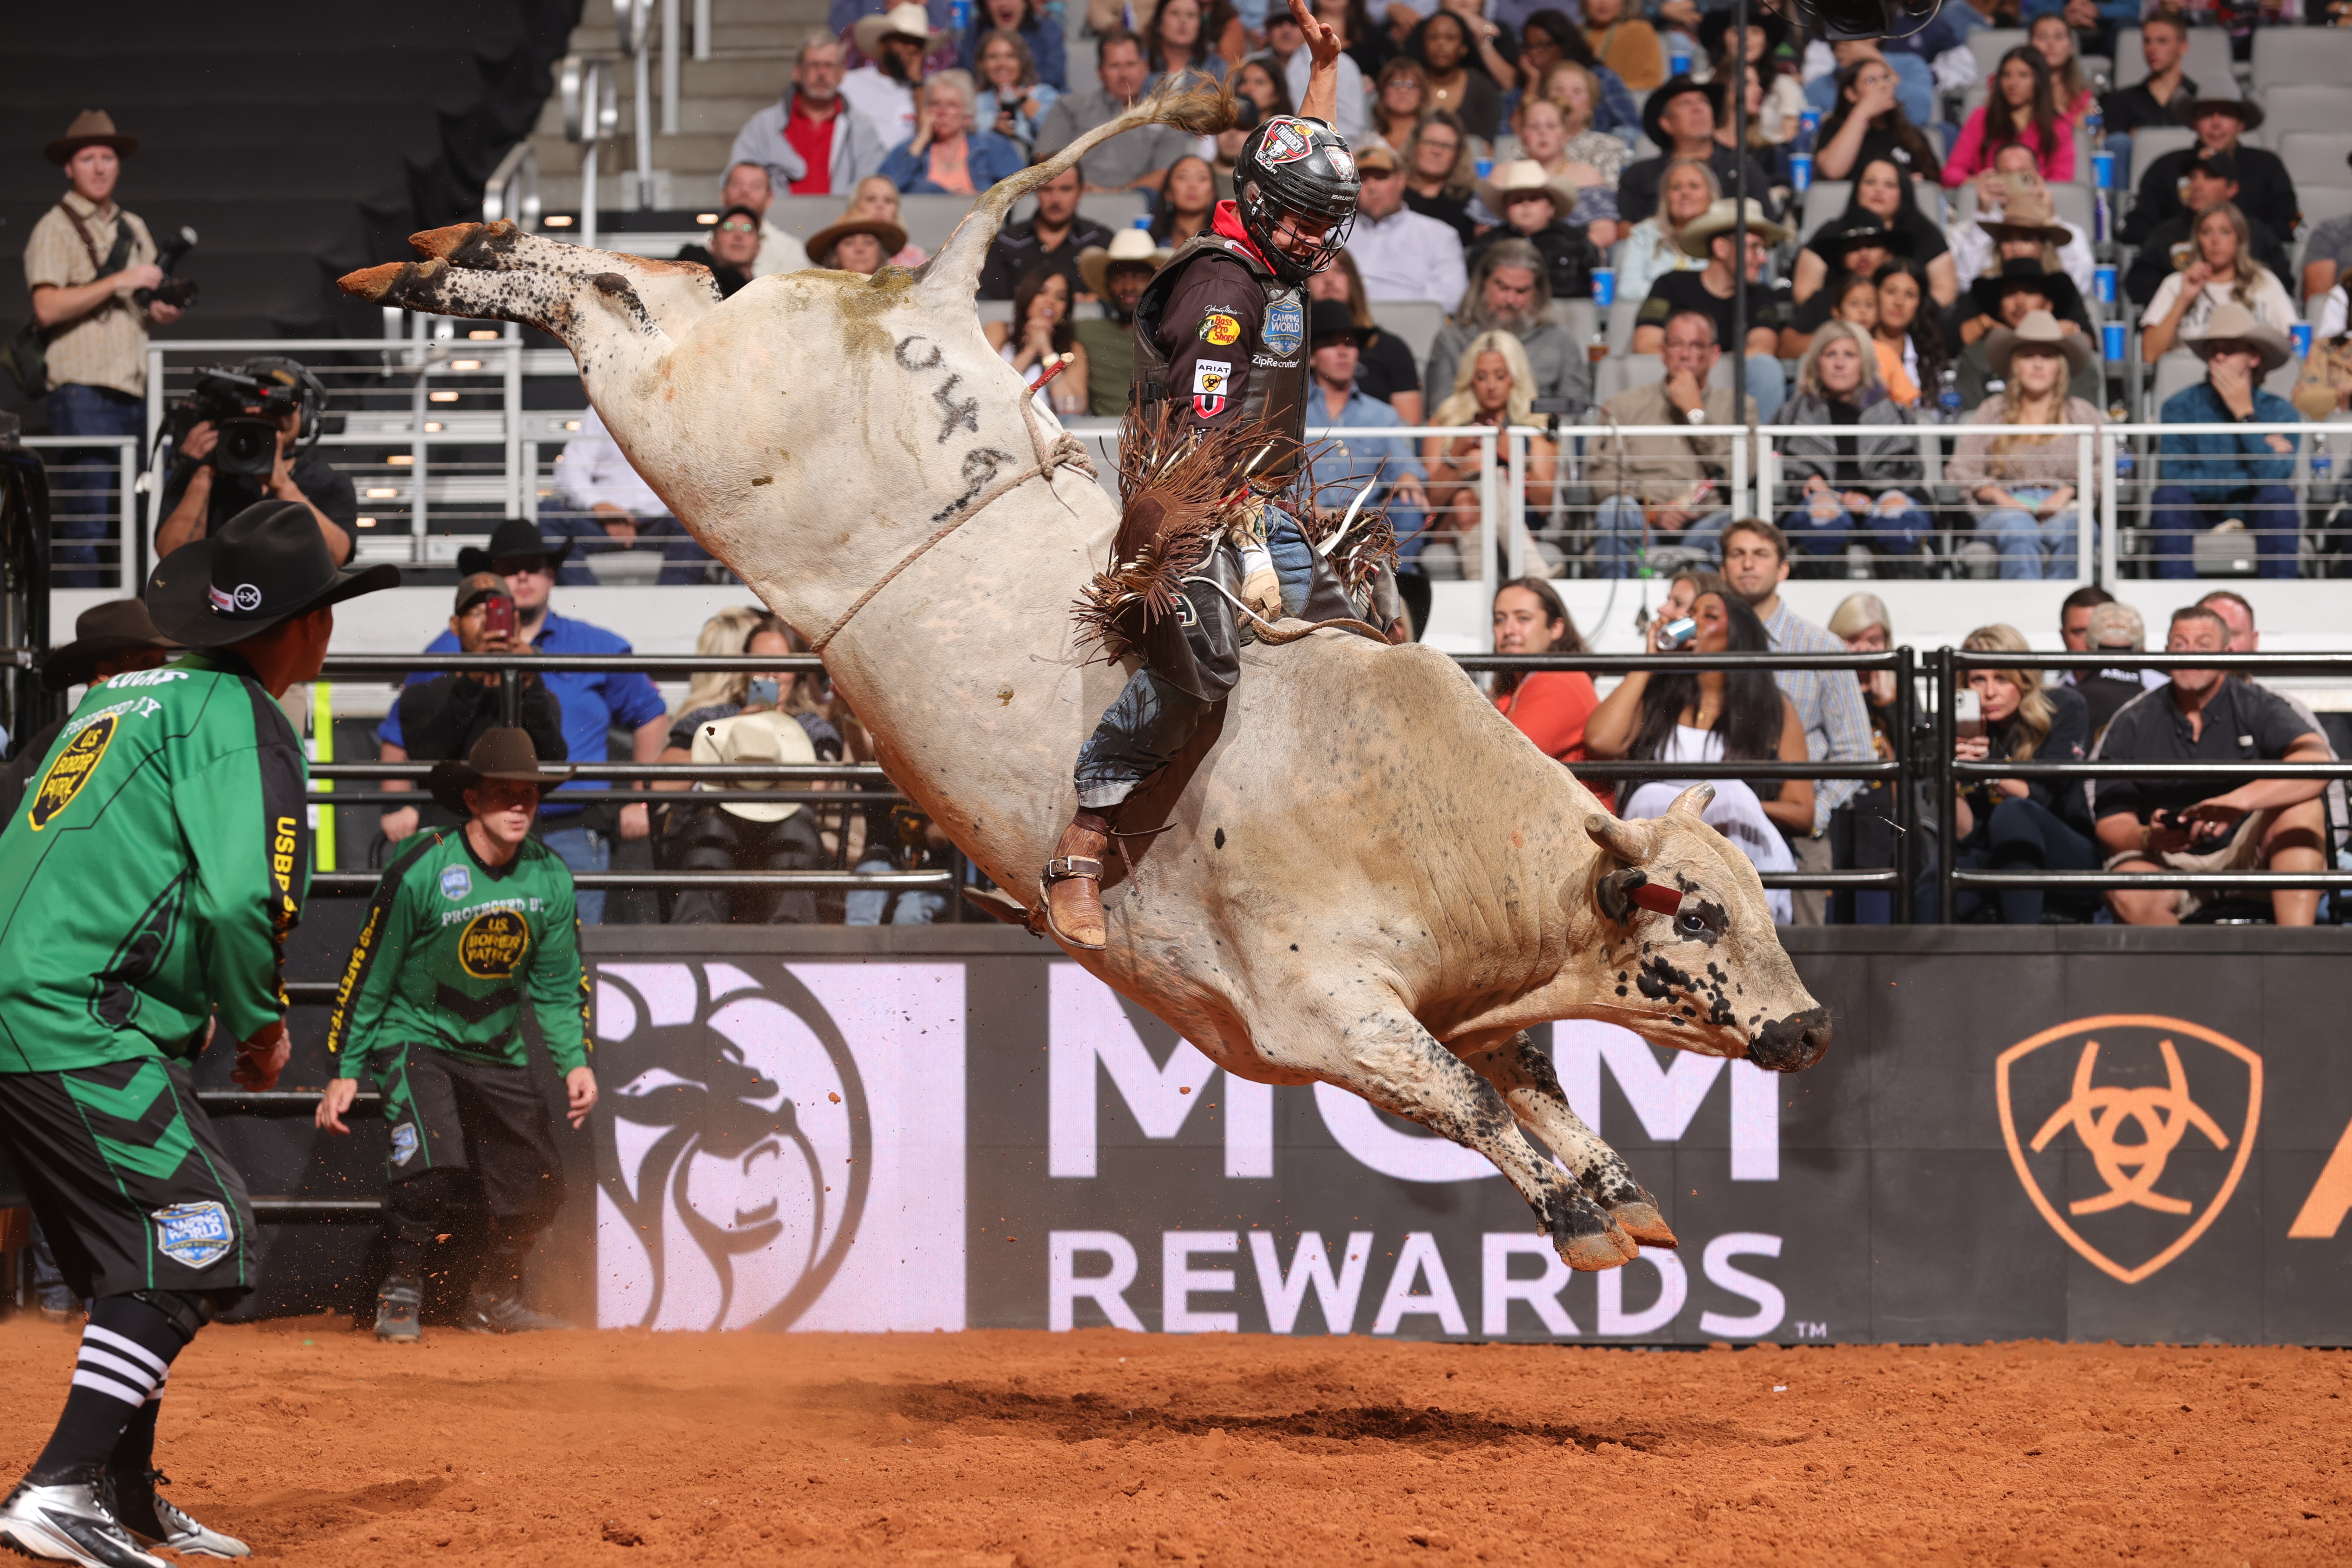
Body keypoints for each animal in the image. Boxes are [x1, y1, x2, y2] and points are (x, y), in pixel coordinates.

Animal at [341, 80, 1825, 1279]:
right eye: (1698, 914)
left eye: (1762, 898)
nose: (1808, 1031)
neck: (1440, 826)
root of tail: (932, 298)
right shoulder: (1327, 1013)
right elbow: (1461, 1101)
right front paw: (1575, 1219)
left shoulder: (1469, 999)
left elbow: (1535, 1076)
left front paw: (1619, 1194)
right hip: (687, 414)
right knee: (594, 307)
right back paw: (436, 270)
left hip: (705, 361)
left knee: (639, 281)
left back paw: (433, 256)